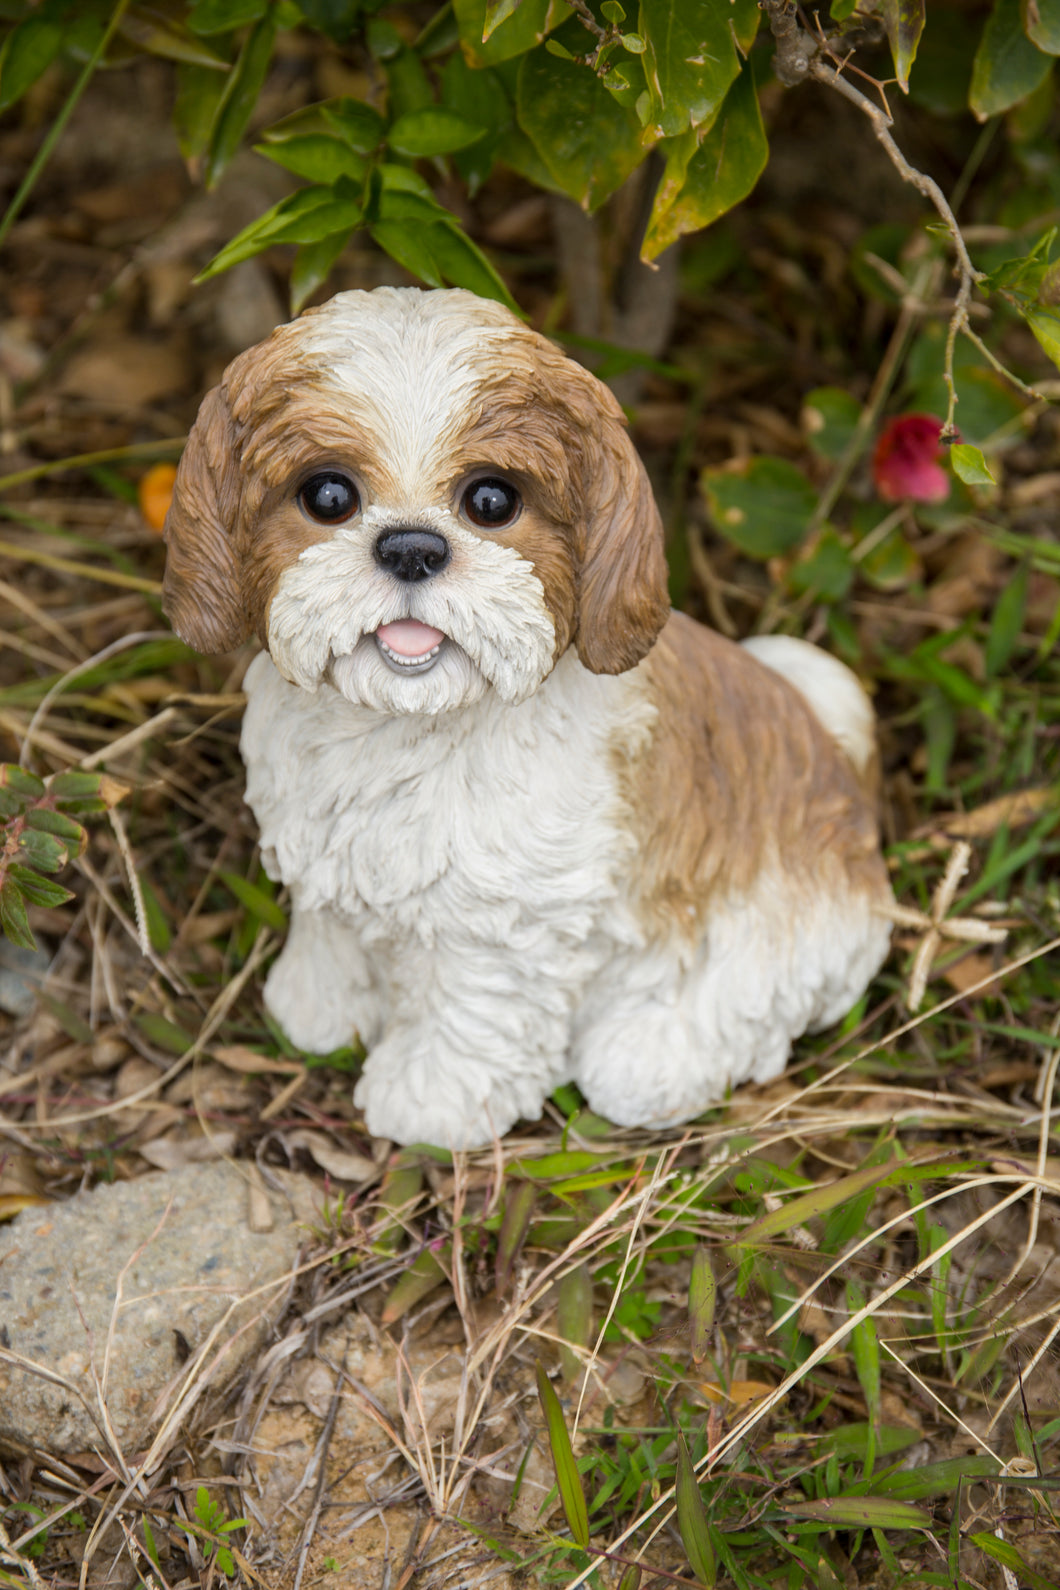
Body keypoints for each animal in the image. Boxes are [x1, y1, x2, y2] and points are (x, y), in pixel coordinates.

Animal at [163, 286, 896, 1151]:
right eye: (328, 496)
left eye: (492, 500)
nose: (411, 547)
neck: (412, 723)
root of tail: (846, 781)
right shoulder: (327, 860)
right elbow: (333, 933)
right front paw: (315, 1009)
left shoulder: (498, 925)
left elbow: (468, 1011)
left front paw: (431, 1102)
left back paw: (662, 1055)